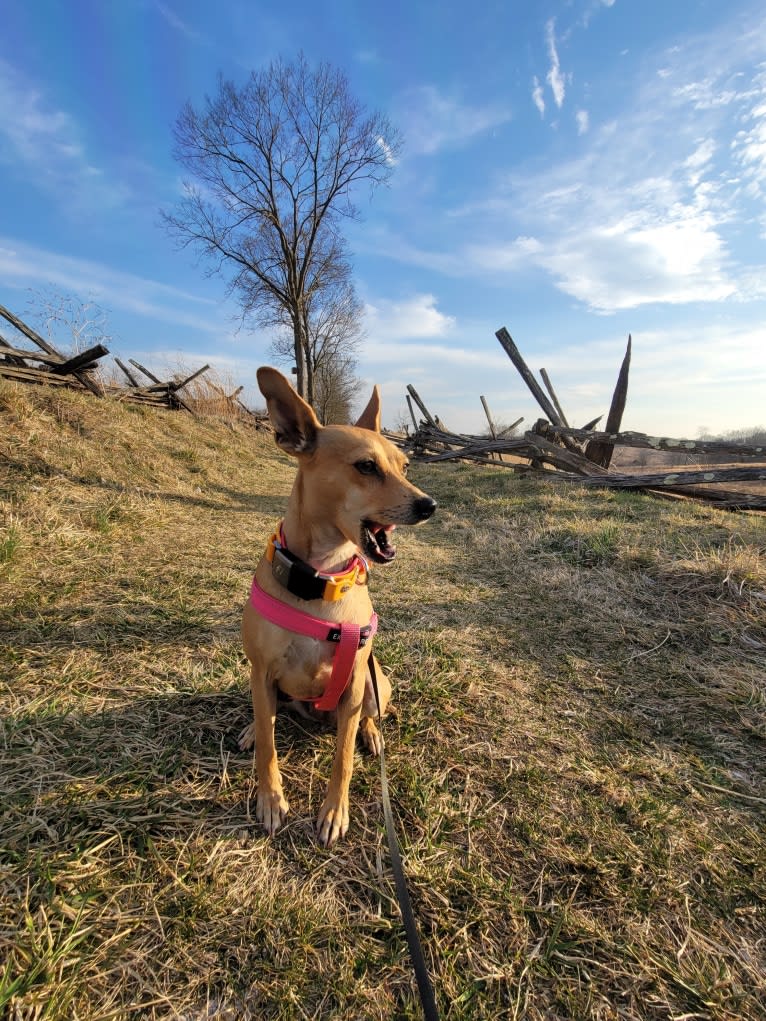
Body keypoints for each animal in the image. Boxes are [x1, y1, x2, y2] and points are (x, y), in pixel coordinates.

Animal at [240, 369, 437, 845]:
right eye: (366, 466)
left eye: (405, 466)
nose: (429, 505)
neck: (322, 580)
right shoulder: (262, 669)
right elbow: (269, 748)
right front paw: (270, 799)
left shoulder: (352, 685)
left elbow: (342, 759)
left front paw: (333, 812)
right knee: (266, 714)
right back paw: (253, 727)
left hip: (375, 682)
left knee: (366, 716)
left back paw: (372, 734)